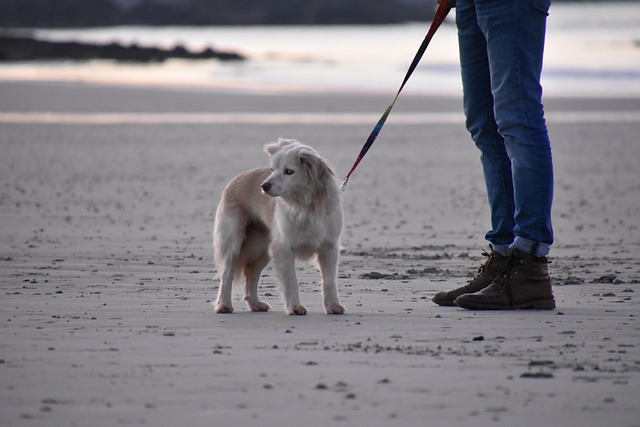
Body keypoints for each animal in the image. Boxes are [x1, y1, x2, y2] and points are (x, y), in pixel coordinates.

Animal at [212, 139, 344, 316]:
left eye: (289, 171)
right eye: (272, 170)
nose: (264, 186)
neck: (305, 205)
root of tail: (236, 179)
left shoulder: (329, 248)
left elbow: (329, 281)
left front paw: (333, 305)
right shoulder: (284, 248)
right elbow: (291, 280)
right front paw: (294, 307)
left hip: (262, 249)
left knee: (252, 275)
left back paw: (255, 304)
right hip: (233, 244)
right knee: (227, 275)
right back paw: (223, 305)